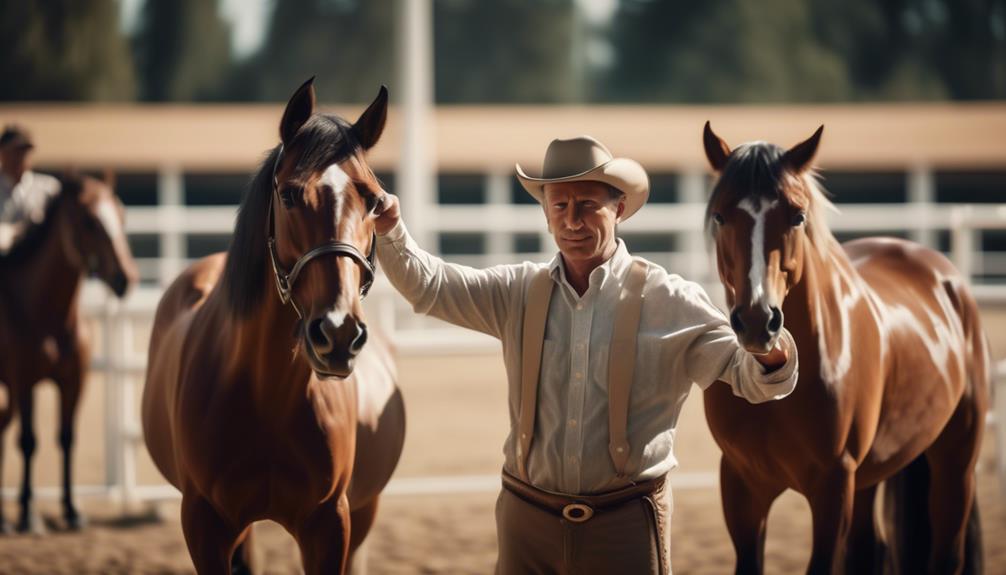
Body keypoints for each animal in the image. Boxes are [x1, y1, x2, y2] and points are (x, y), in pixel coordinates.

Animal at [0, 174, 137, 534]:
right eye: (89, 220)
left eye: (121, 214)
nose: (125, 278)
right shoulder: (24, 382)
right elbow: (29, 441)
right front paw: (28, 514)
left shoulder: (75, 382)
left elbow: (66, 438)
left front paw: (72, 510)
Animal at [140, 77, 404, 575]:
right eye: (289, 195)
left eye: (374, 200)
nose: (339, 334)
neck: (268, 394)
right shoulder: (204, 523)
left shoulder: (330, 523)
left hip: (365, 510)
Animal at [700, 125, 989, 575]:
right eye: (720, 215)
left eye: (797, 216)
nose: (757, 321)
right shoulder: (741, 485)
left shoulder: (833, 488)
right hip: (870, 478)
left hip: (954, 464)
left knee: (947, 552)